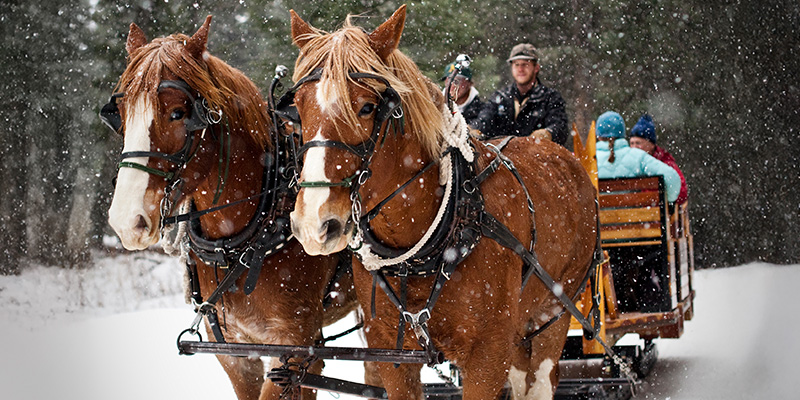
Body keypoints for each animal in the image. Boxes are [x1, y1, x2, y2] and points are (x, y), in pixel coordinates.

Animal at [286, 5, 598, 400]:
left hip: (554, 310)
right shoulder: (392, 354)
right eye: (298, 108)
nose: (314, 223)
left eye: (368, 107)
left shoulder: (487, 355)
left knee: (541, 378)